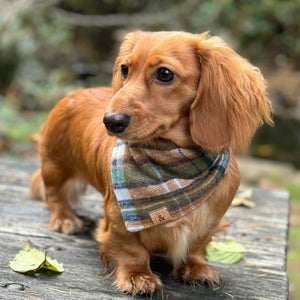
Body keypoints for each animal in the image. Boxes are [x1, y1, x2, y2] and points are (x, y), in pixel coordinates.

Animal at [29, 31, 272, 296]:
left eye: (165, 74)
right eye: (125, 69)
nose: (110, 121)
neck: (175, 167)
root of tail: (73, 94)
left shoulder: (210, 219)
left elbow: (198, 245)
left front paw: (196, 268)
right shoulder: (118, 218)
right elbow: (131, 249)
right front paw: (138, 276)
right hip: (55, 166)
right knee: (54, 194)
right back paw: (65, 219)